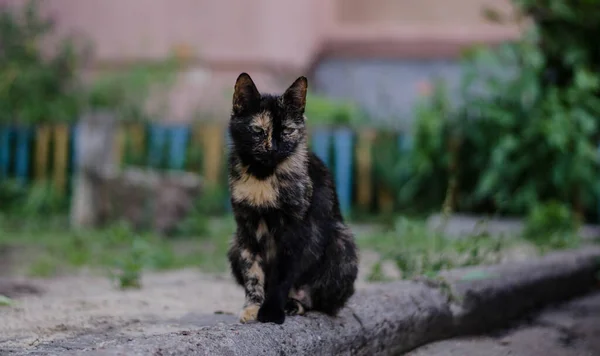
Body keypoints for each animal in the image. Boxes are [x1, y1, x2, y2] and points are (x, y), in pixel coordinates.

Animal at [225, 73, 356, 326]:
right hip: (234, 245)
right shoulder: (245, 228)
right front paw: (252, 308)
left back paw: (294, 304)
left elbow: (282, 275)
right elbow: (252, 273)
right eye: (258, 130)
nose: (272, 148)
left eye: (286, 130)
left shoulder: (295, 229)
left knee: (320, 303)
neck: (263, 175)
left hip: (342, 243)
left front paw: (271, 312)